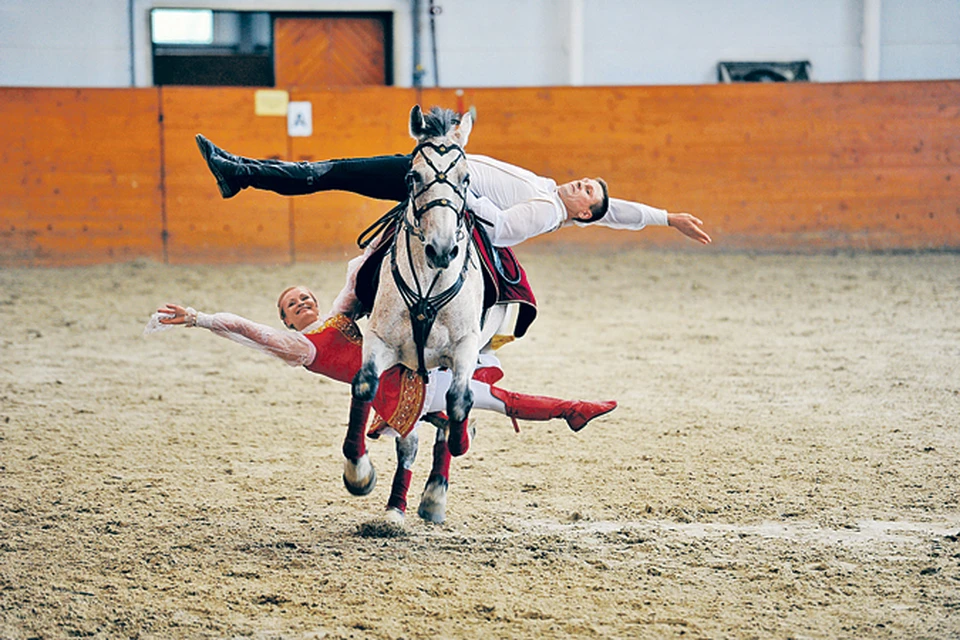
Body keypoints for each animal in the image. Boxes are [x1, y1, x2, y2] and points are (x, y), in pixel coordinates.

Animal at [342, 105, 484, 524]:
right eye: (412, 176)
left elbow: (458, 400)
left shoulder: (466, 345)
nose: (442, 249)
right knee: (409, 439)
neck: (428, 283)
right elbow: (364, 386)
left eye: (465, 178)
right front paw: (359, 473)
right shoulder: (382, 342)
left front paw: (460, 439)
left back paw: (435, 493)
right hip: (410, 366)